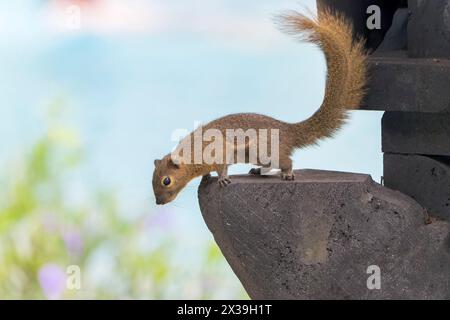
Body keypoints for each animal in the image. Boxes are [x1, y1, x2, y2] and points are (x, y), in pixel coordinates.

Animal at [151, 10, 366, 205]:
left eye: (166, 181)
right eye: (153, 179)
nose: (159, 203)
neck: (193, 152)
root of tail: (289, 130)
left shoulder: (219, 152)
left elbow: (221, 168)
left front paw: (222, 179)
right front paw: (205, 180)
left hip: (267, 150)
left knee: (287, 161)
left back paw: (287, 173)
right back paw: (257, 170)